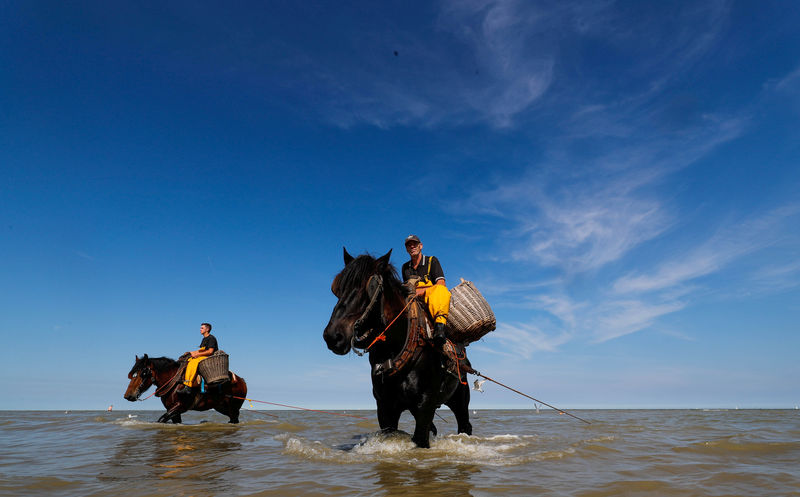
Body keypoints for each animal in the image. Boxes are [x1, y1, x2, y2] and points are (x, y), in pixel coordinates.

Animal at [324, 250, 472, 448]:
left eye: (369, 288)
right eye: (337, 288)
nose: (333, 336)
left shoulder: (425, 406)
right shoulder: (385, 408)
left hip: (460, 399)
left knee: (465, 425)